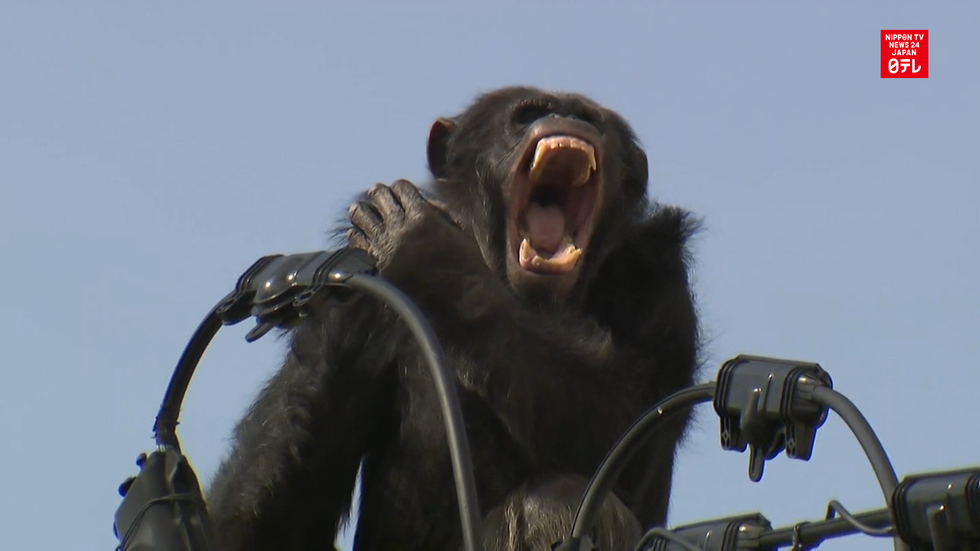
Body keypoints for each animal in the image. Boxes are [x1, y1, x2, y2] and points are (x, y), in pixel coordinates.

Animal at [205, 86, 702, 551]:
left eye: (588, 118)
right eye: (528, 114)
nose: (567, 119)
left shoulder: (661, 282)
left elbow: (625, 423)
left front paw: (423, 245)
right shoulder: (352, 289)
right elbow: (282, 498)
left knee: (558, 498)